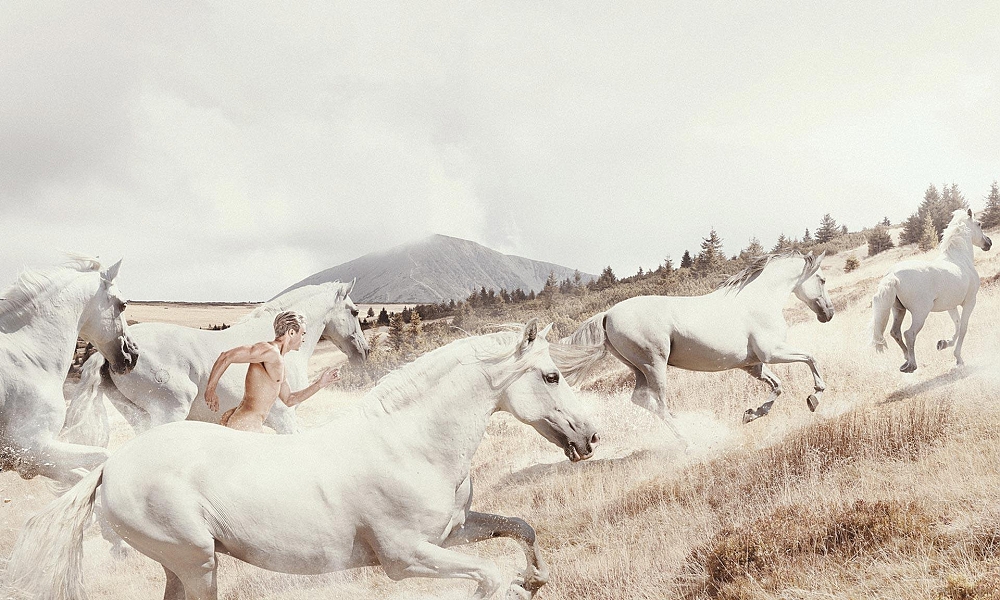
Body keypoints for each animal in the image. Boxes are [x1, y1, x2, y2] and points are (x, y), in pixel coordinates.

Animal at [0, 255, 139, 486]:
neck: (30, 356)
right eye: (123, 304)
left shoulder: (32, 462)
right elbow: (102, 456)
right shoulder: (31, 449)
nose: (133, 355)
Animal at [5, 322, 600, 600]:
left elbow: (520, 527)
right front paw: (516, 584)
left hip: (181, 564)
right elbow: (490, 576)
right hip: (198, 562)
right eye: (552, 376)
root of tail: (112, 467)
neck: (412, 444)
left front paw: (537, 579)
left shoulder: (451, 534)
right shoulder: (405, 558)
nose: (591, 436)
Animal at [61, 278, 372, 446]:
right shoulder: (285, 418)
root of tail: (115, 353)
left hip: (141, 419)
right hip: (170, 412)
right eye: (355, 312)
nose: (364, 352)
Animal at [564, 251, 836, 438]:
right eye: (822, 280)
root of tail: (607, 314)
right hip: (654, 365)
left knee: (641, 400)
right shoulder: (772, 352)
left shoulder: (752, 364)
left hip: (638, 369)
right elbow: (811, 358)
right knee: (660, 404)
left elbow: (777, 386)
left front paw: (751, 414)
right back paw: (689, 440)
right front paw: (815, 396)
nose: (828, 314)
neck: (758, 299)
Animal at [868, 209, 992, 372]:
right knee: (909, 334)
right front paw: (958, 359)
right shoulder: (970, 302)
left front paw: (943, 344)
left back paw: (906, 360)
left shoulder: (951, 306)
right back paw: (912, 365)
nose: (988, 243)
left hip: (898, 310)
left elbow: (957, 325)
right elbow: (963, 328)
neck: (959, 259)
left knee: (895, 332)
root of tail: (893, 275)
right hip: (920, 313)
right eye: (979, 224)